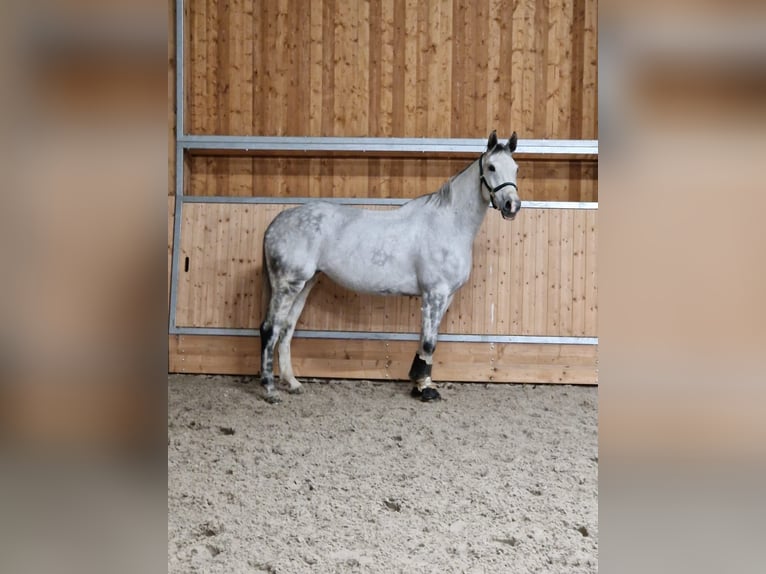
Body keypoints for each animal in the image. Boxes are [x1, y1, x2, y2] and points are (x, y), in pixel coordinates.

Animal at [259, 130, 521, 403]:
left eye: (516, 168)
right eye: (491, 167)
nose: (512, 205)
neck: (447, 224)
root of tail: (278, 221)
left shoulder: (444, 297)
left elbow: (427, 340)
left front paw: (419, 383)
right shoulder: (434, 294)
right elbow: (429, 343)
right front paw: (425, 389)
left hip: (305, 284)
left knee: (286, 329)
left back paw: (292, 383)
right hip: (287, 285)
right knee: (270, 329)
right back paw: (270, 390)